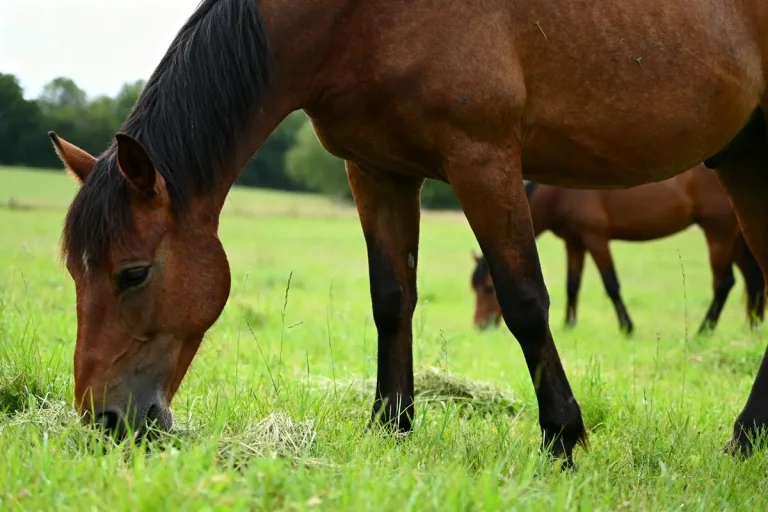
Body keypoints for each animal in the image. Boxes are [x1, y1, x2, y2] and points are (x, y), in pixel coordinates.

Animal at [471, 165, 766, 335]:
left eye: (488, 289)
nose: (480, 325)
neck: (559, 193)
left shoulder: (596, 239)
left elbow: (611, 284)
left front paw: (627, 326)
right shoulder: (574, 243)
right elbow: (572, 285)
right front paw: (569, 324)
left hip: (718, 233)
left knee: (724, 282)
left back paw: (705, 329)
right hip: (736, 237)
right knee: (753, 279)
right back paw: (753, 326)